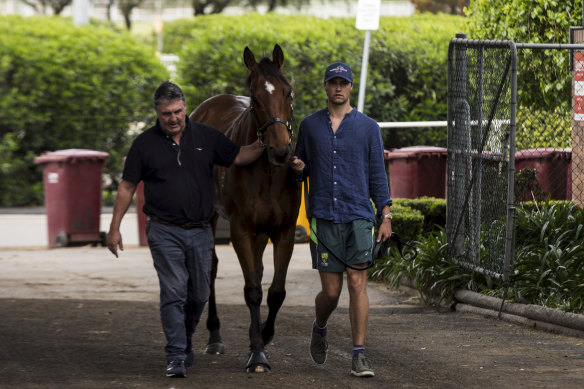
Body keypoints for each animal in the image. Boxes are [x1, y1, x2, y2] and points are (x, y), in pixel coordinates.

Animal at [190, 44, 302, 372]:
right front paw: (257, 354)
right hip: (211, 215)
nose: (281, 150)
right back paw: (214, 337)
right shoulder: (240, 228)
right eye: (255, 99)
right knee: (211, 266)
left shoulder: (284, 230)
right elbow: (252, 289)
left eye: (288, 92)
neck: (268, 171)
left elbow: (276, 291)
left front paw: (264, 335)